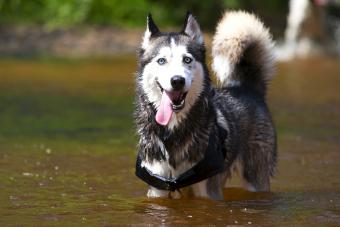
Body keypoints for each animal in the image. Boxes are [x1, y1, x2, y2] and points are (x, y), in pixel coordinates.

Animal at [133, 10, 276, 200]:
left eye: (187, 59)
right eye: (161, 61)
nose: (177, 80)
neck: (174, 132)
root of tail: (246, 87)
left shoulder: (208, 192)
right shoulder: (157, 190)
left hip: (256, 177)